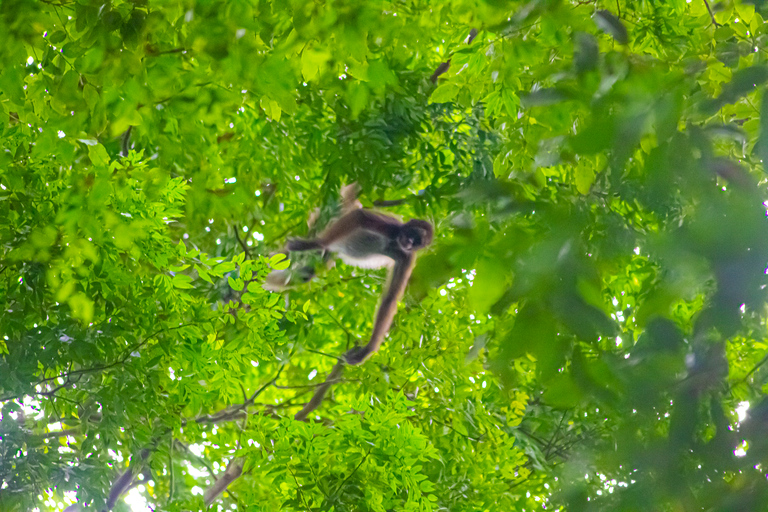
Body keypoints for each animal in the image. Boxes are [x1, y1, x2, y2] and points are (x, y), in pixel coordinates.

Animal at [286, 207, 432, 364]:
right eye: (413, 235)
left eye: (417, 243)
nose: (409, 244)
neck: (395, 242)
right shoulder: (392, 227)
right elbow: (359, 215)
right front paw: (317, 243)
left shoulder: (407, 258)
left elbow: (390, 299)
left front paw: (366, 351)